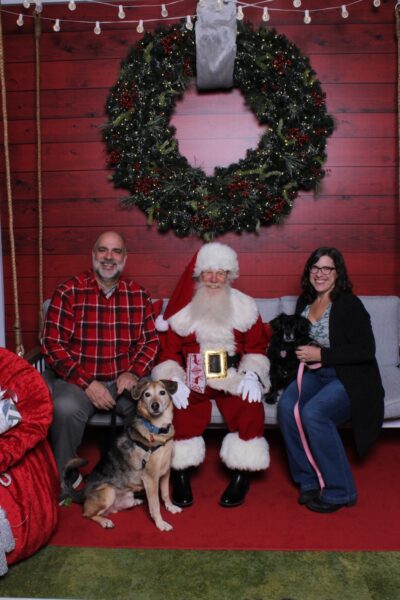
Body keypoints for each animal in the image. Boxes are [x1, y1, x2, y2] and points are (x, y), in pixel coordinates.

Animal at [63, 380, 182, 528]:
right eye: (147, 394)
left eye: (162, 392)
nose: (155, 405)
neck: (158, 430)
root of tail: (83, 493)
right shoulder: (151, 478)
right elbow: (155, 505)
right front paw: (160, 523)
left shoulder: (165, 472)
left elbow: (165, 493)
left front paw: (170, 507)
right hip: (108, 492)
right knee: (87, 514)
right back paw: (105, 521)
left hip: (127, 497)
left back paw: (136, 501)